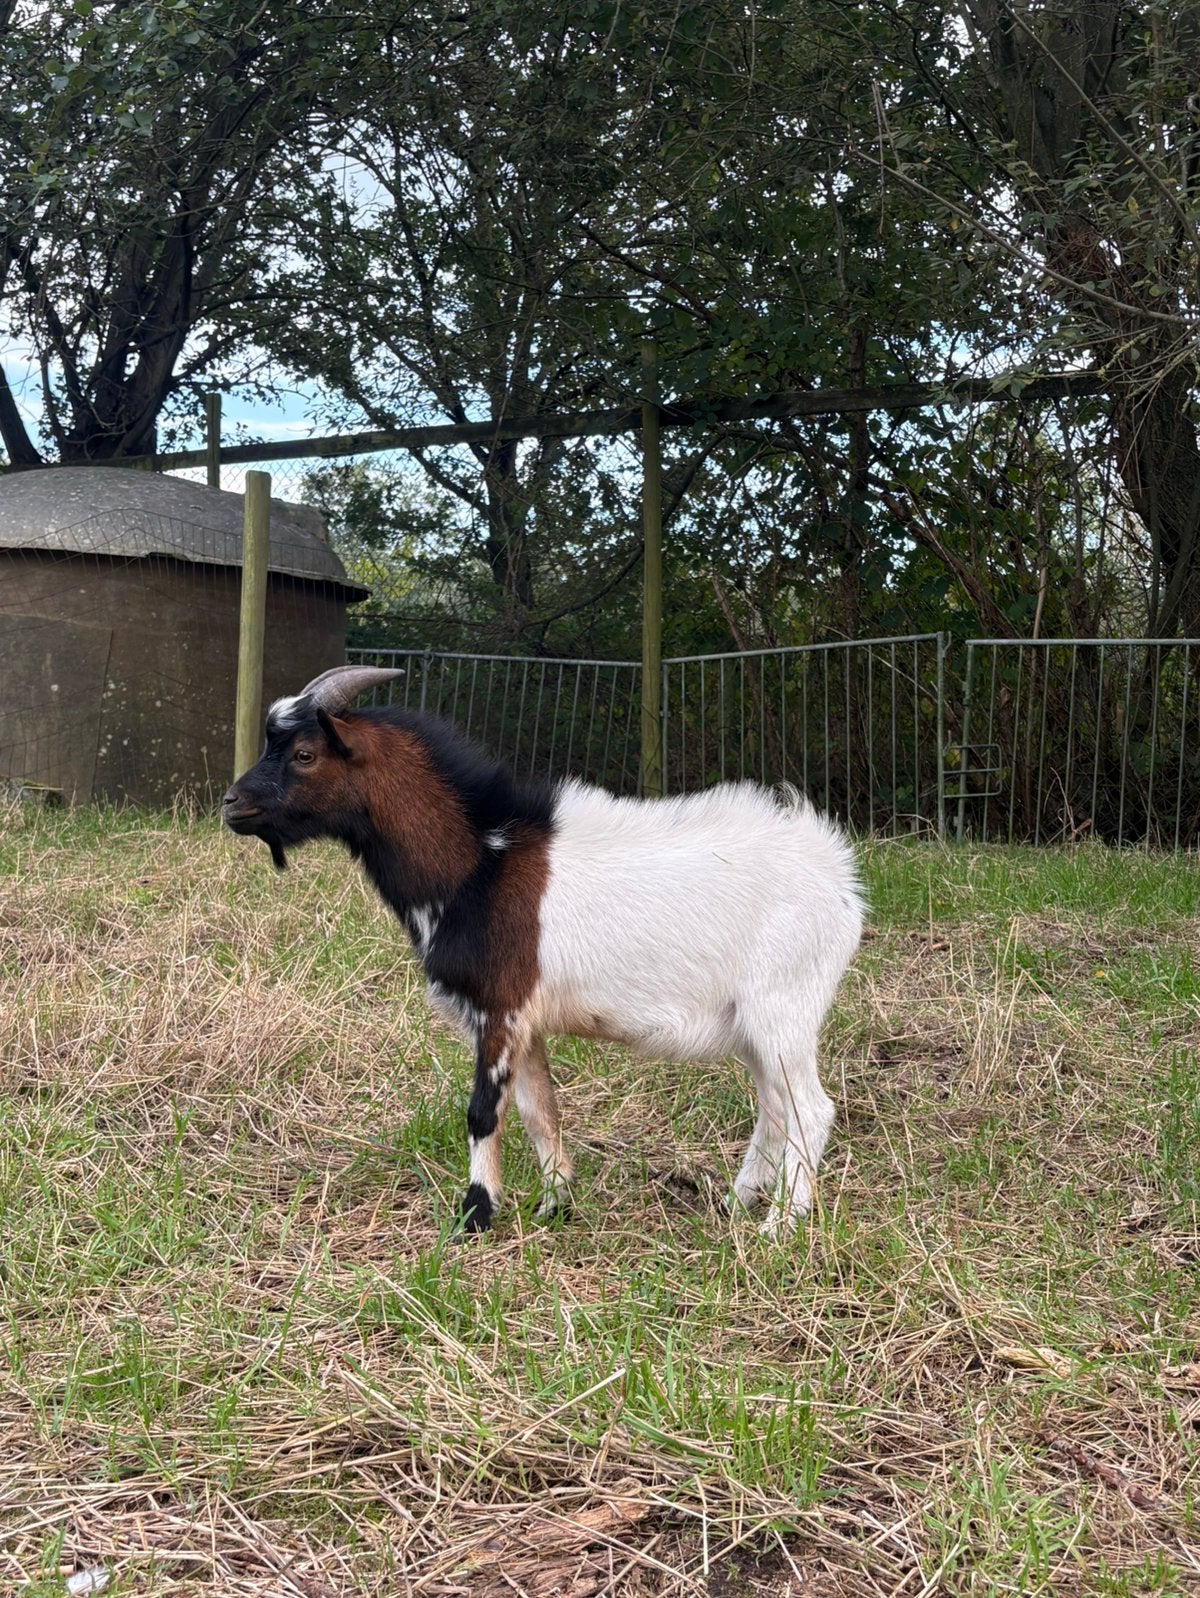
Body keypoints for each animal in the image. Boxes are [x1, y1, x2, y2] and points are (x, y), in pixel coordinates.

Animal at [222, 665, 864, 1236]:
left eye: (305, 754)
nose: (232, 803)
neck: (481, 863)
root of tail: (839, 879)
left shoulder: (499, 1008)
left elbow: (484, 1112)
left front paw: (474, 1217)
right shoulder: (525, 1021)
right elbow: (539, 1111)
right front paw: (556, 1204)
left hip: (782, 1010)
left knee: (809, 1110)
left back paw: (780, 1226)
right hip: (755, 1025)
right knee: (774, 1109)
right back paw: (736, 1204)